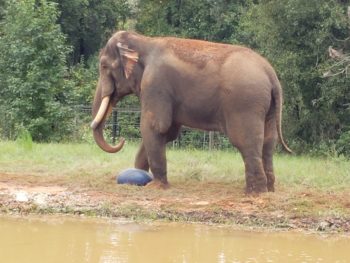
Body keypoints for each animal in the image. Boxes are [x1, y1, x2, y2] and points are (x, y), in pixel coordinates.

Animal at [90, 31, 290, 194]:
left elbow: (155, 126)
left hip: (244, 104)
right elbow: (168, 132)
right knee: (268, 142)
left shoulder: (156, 84)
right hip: (268, 108)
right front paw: (139, 176)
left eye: (104, 66)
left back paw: (254, 193)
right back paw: (269, 189)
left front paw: (155, 186)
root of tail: (271, 74)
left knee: (246, 142)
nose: (121, 140)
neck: (144, 40)